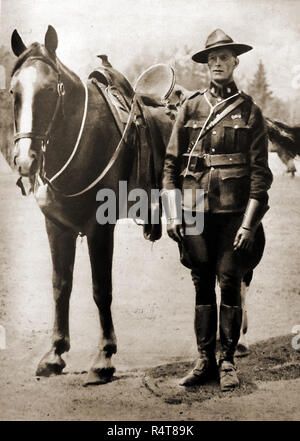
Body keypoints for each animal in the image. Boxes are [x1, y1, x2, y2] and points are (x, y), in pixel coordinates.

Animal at [9, 25, 173, 384]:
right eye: (14, 91)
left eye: (49, 90)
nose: (25, 160)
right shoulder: (57, 226)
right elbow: (61, 285)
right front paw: (55, 353)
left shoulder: (100, 228)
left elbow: (101, 289)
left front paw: (104, 357)